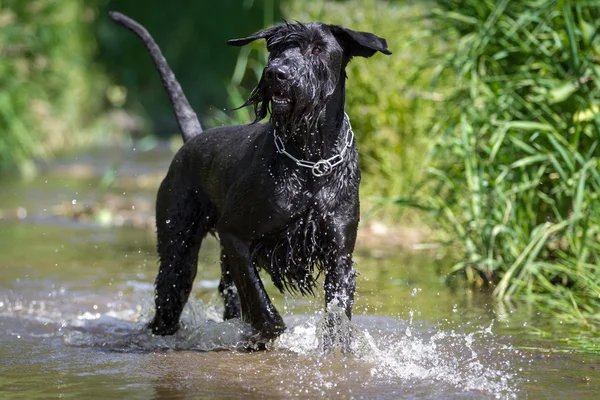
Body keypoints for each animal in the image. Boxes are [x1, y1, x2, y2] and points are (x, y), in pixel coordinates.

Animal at [110, 10, 392, 346]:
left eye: (317, 49)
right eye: (275, 49)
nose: (275, 73)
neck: (311, 160)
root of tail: (191, 140)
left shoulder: (340, 254)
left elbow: (337, 316)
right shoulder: (235, 235)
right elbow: (260, 301)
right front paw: (265, 333)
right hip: (178, 251)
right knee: (170, 296)